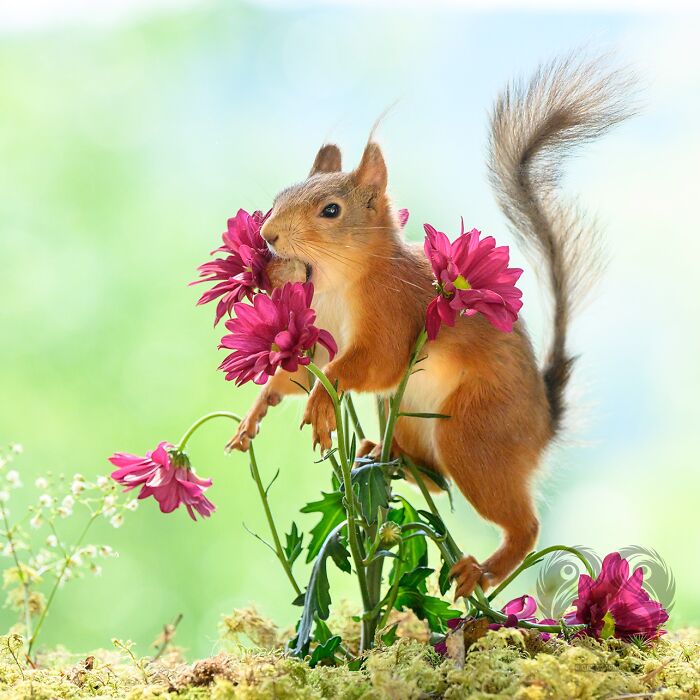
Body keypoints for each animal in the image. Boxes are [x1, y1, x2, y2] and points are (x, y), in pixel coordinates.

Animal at [226, 57, 633, 599]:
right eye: (279, 197)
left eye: (331, 211)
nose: (268, 235)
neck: (340, 281)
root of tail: (545, 425)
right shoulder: (318, 332)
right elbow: (298, 372)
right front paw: (259, 407)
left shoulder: (394, 312)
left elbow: (371, 364)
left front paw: (322, 401)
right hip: (408, 418)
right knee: (433, 481)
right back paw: (381, 454)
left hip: (475, 433)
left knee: (520, 523)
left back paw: (481, 570)